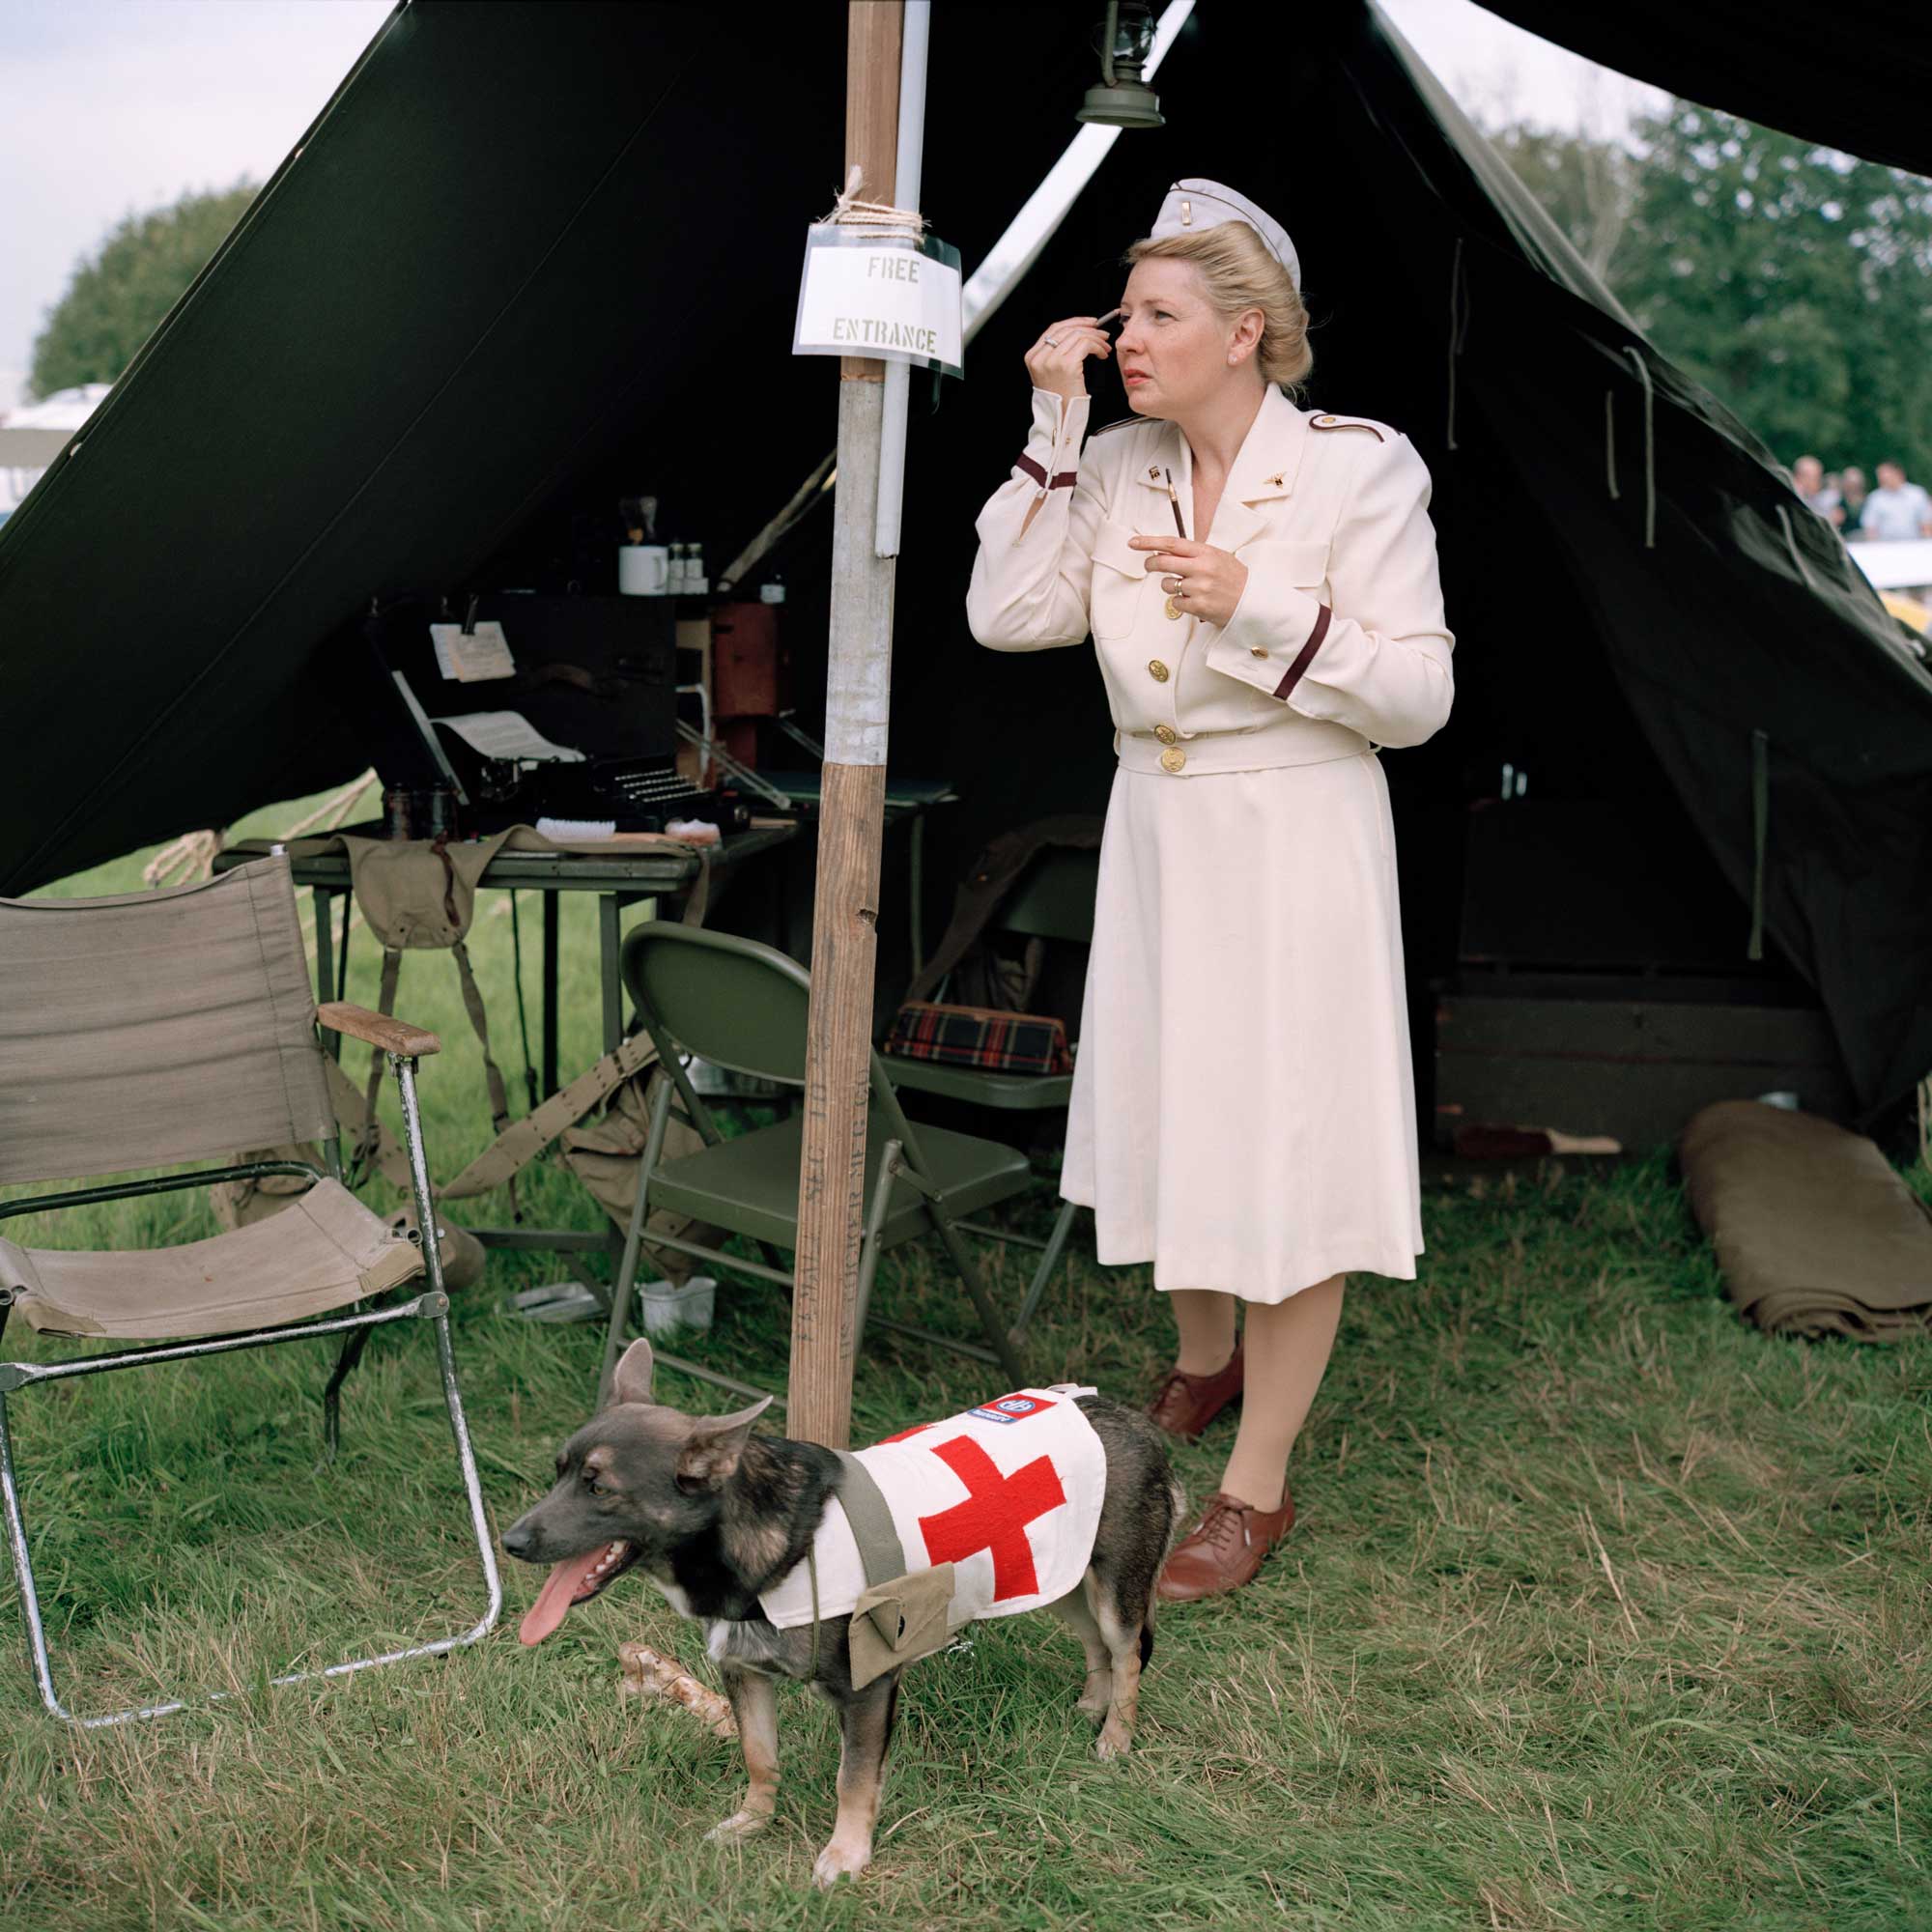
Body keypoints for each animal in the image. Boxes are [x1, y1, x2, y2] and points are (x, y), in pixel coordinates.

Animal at [498, 1345, 1182, 1886]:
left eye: (598, 1486)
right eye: (559, 1473)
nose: (511, 1542)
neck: (769, 1550)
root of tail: (1135, 1419)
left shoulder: (867, 1690)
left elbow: (852, 1782)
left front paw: (846, 1856)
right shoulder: (744, 1674)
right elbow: (759, 1756)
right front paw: (752, 1823)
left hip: (1114, 1588)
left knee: (1127, 1656)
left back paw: (1115, 1737)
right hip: (1060, 1578)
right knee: (1096, 1646)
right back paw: (1092, 1707)